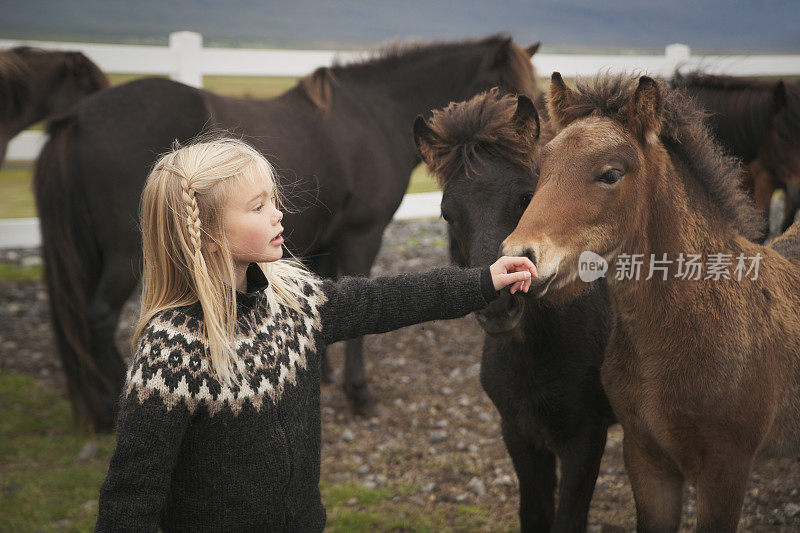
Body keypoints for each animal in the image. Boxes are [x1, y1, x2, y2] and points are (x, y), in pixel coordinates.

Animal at [412, 89, 612, 528]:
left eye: (525, 197)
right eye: (447, 213)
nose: (499, 305)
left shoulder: (586, 439)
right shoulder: (519, 434)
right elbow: (534, 514)